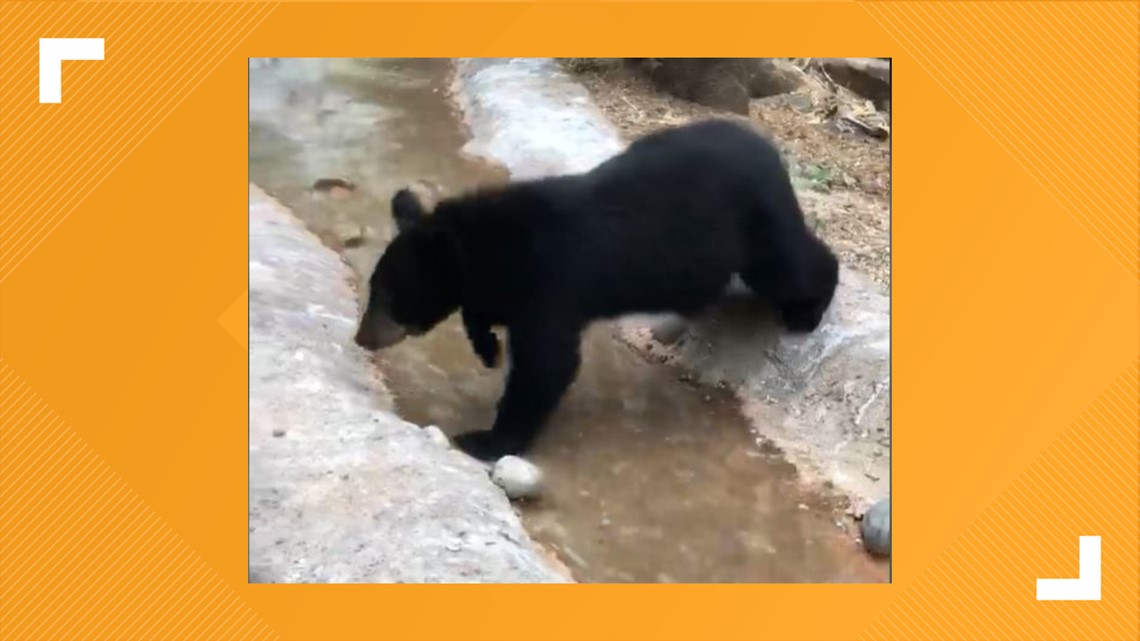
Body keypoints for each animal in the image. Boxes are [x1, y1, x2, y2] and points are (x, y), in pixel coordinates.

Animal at [353, 118, 839, 458]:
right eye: (375, 289)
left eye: (390, 298)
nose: (361, 338)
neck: (497, 248)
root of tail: (769, 148)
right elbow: (487, 312)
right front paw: (487, 345)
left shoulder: (552, 284)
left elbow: (547, 365)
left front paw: (485, 439)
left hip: (756, 223)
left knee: (790, 265)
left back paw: (809, 309)